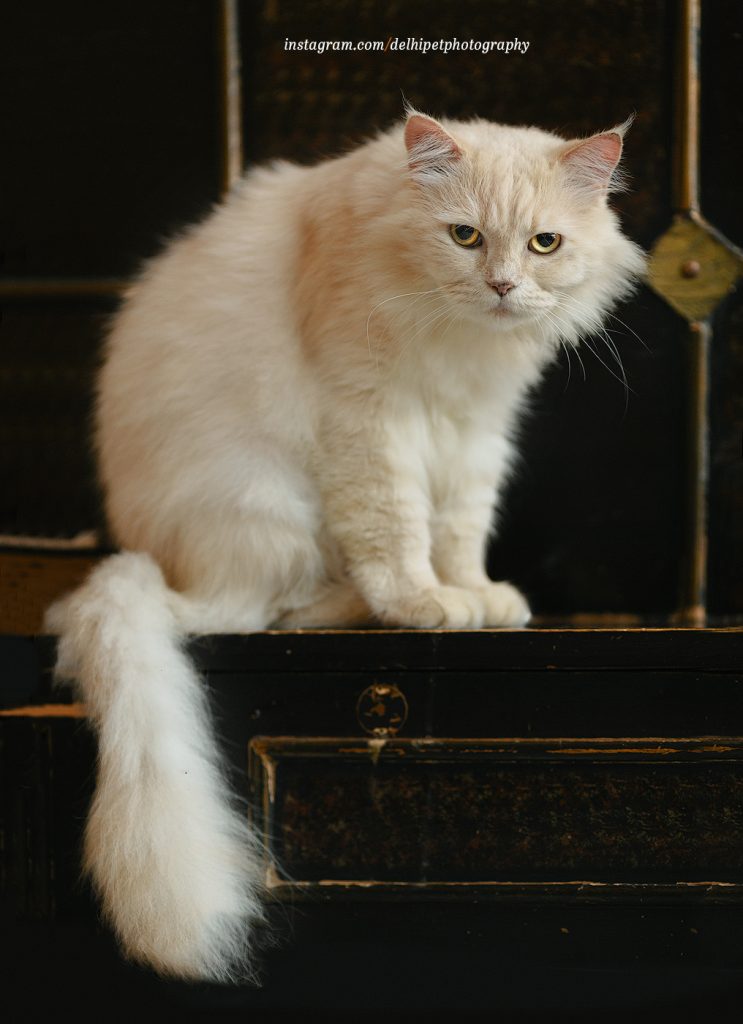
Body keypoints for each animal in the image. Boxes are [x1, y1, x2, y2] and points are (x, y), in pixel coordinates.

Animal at [45, 108, 646, 978]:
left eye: (543, 244)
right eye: (464, 236)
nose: (501, 286)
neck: (459, 344)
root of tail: (158, 569)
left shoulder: (476, 433)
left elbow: (460, 527)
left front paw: (476, 594)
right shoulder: (371, 417)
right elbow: (397, 527)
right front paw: (427, 603)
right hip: (267, 509)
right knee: (261, 614)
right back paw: (361, 606)